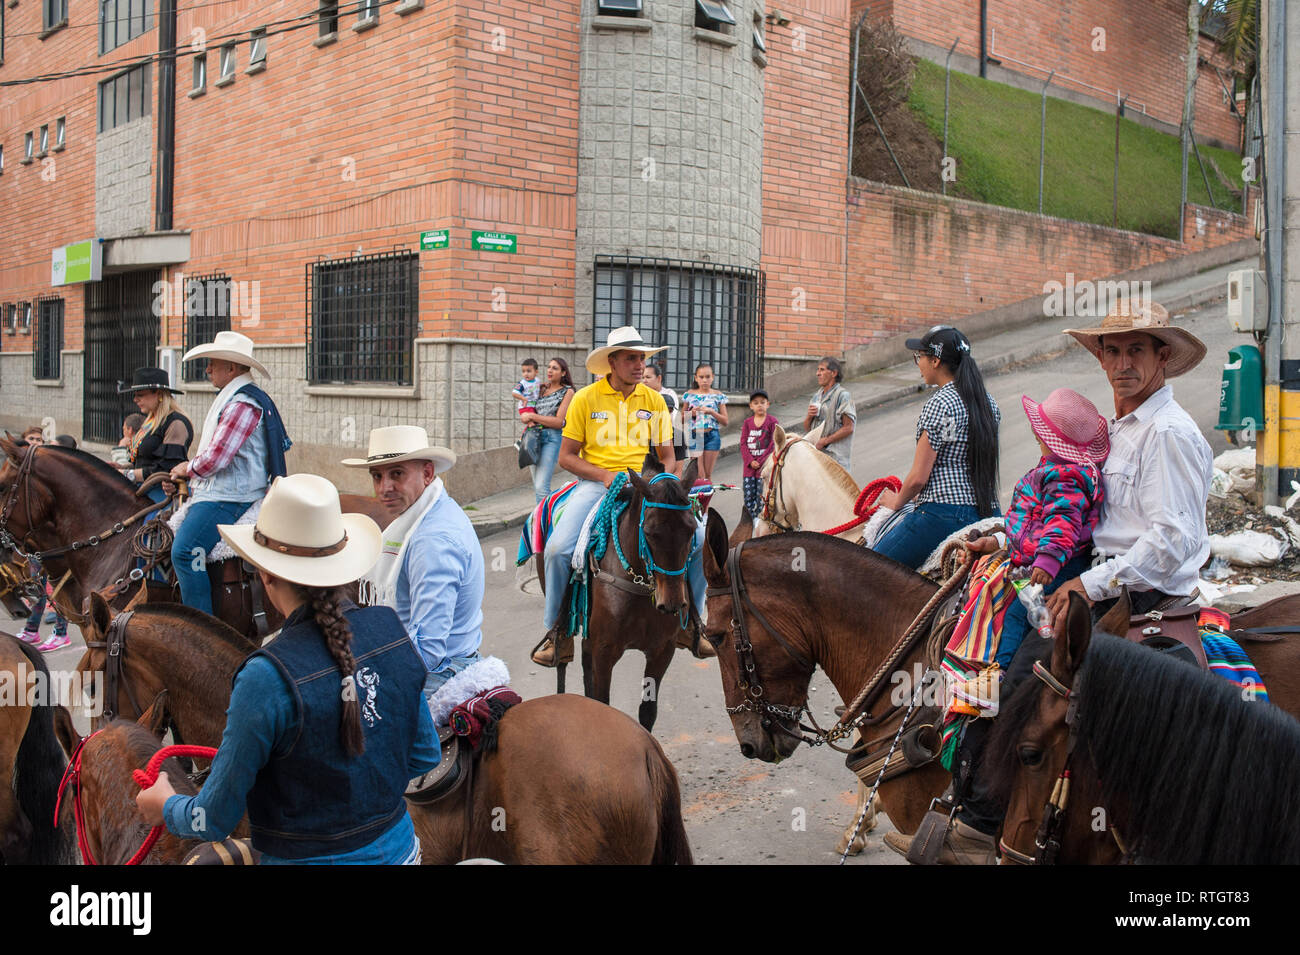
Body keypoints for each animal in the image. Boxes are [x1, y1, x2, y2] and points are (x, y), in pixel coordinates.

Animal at [540, 457, 707, 732]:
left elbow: (648, 711)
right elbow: (604, 705)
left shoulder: (662, 650)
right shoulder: (605, 650)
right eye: (649, 532)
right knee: (562, 663)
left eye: (691, 529)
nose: (671, 603)